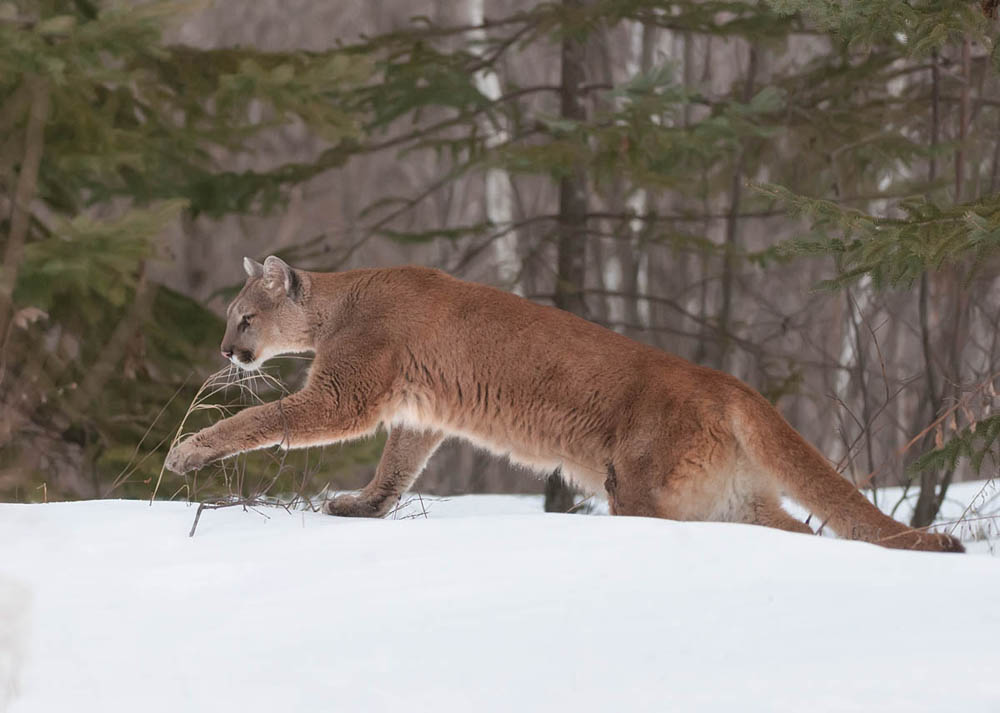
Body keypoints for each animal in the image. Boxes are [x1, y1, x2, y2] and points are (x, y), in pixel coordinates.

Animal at [166, 256, 960, 552]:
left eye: (243, 318)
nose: (225, 352)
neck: (339, 301)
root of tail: (727, 382)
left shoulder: (345, 394)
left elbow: (263, 420)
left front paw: (188, 451)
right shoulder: (418, 417)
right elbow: (394, 473)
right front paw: (358, 509)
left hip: (640, 485)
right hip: (727, 495)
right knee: (800, 528)